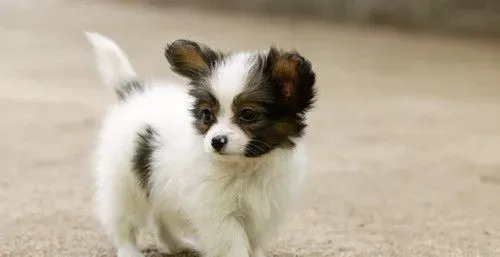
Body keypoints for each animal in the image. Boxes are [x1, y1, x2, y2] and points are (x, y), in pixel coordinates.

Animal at [84, 32, 314, 256]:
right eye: (206, 114)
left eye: (248, 114)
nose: (216, 141)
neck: (246, 166)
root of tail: (133, 94)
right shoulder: (219, 216)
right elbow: (235, 247)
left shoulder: (263, 214)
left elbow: (254, 244)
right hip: (125, 186)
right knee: (124, 225)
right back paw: (129, 251)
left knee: (162, 220)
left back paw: (177, 246)